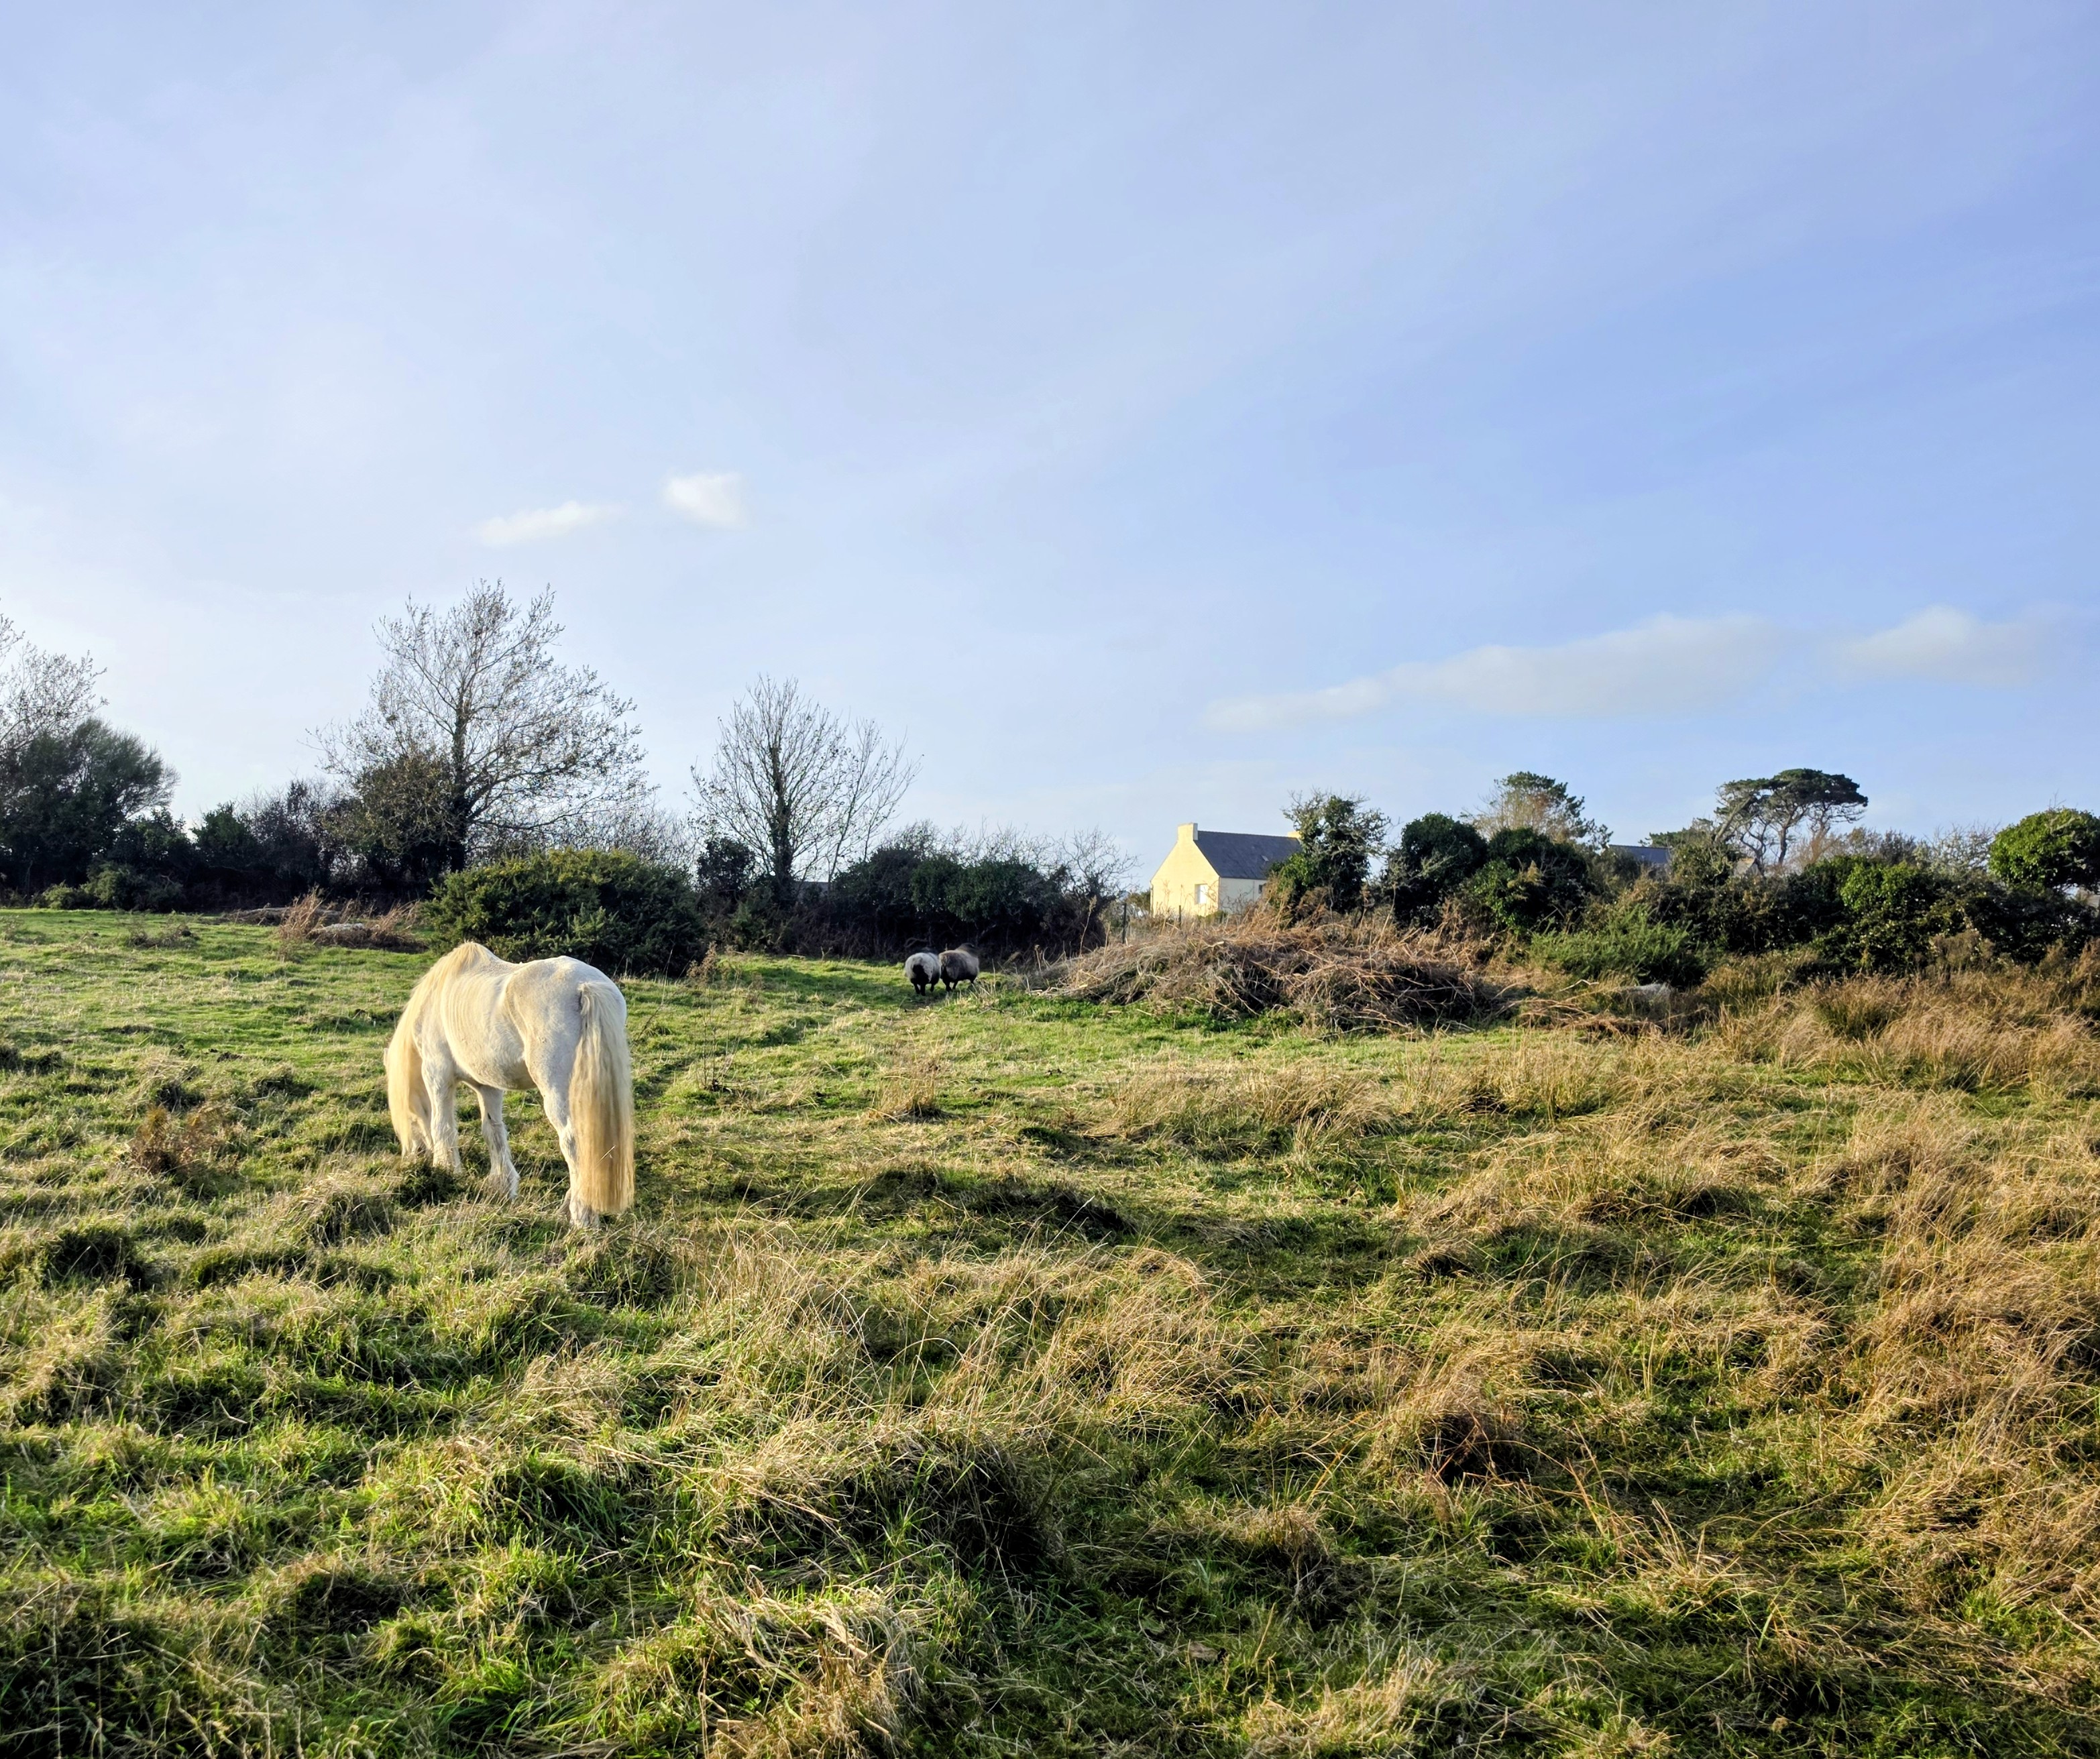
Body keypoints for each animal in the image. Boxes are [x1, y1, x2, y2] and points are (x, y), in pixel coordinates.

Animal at [384, 942, 635, 1228]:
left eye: (408, 1116)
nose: (413, 1156)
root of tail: (585, 985)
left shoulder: (437, 1074)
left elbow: (442, 1126)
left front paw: (446, 1170)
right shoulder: (488, 1086)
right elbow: (493, 1131)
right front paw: (502, 1185)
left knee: (575, 1143)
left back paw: (582, 1216)